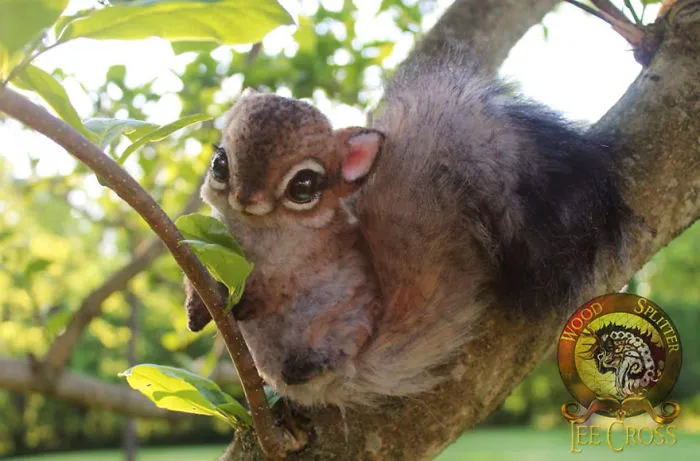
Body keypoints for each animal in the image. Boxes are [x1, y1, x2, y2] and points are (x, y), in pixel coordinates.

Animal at [184, 52, 630, 407]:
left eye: (304, 186)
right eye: (219, 163)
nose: (245, 198)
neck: (256, 236)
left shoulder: (311, 259)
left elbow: (280, 287)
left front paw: (246, 301)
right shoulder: (207, 246)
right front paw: (196, 309)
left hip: (339, 325)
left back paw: (307, 363)